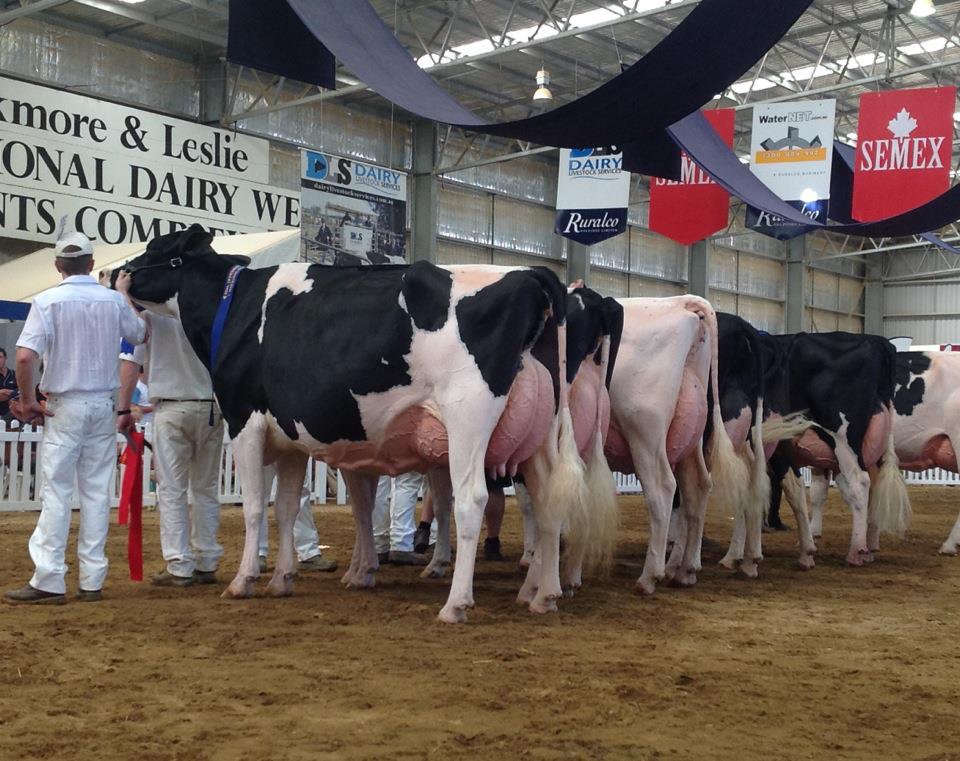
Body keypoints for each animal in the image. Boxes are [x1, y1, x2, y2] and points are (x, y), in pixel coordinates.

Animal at [122, 223, 600, 620]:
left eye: (158, 249)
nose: (120, 273)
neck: (235, 307)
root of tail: (532, 273)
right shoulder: (289, 437)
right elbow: (288, 506)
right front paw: (282, 579)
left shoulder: (245, 420)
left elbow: (256, 507)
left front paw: (244, 581)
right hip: (541, 434)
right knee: (548, 502)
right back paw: (543, 595)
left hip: (469, 417)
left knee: (471, 501)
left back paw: (456, 604)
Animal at [604, 296, 748, 592]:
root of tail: (680, 302)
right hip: (690, 437)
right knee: (698, 488)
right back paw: (686, 570)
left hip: (645, 432)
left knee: (663, 489)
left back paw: (650, 576)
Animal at [748, 330, 912, 568]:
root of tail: (875, 340)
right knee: (873, 486)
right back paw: (870, 547)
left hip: (843, 437)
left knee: (859, 483)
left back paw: (856, 551)